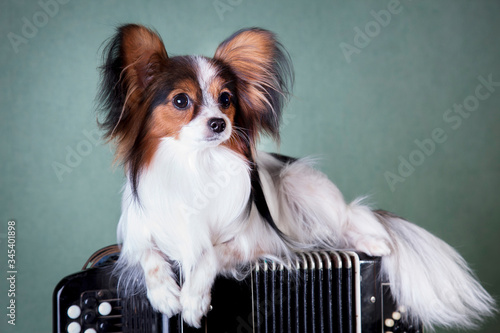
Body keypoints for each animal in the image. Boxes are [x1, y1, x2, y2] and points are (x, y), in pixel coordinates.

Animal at [98, 24, 496, 330]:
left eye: (226, 99)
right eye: (181, 101)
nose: (219, 123)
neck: (196, 165)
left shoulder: (254, 240)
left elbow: (209, 254)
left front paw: (194, 300)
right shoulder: (135, 237)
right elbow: (149, 254)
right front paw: (166, 294)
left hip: (301, 185)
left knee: (346, 220)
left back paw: (372, 242)